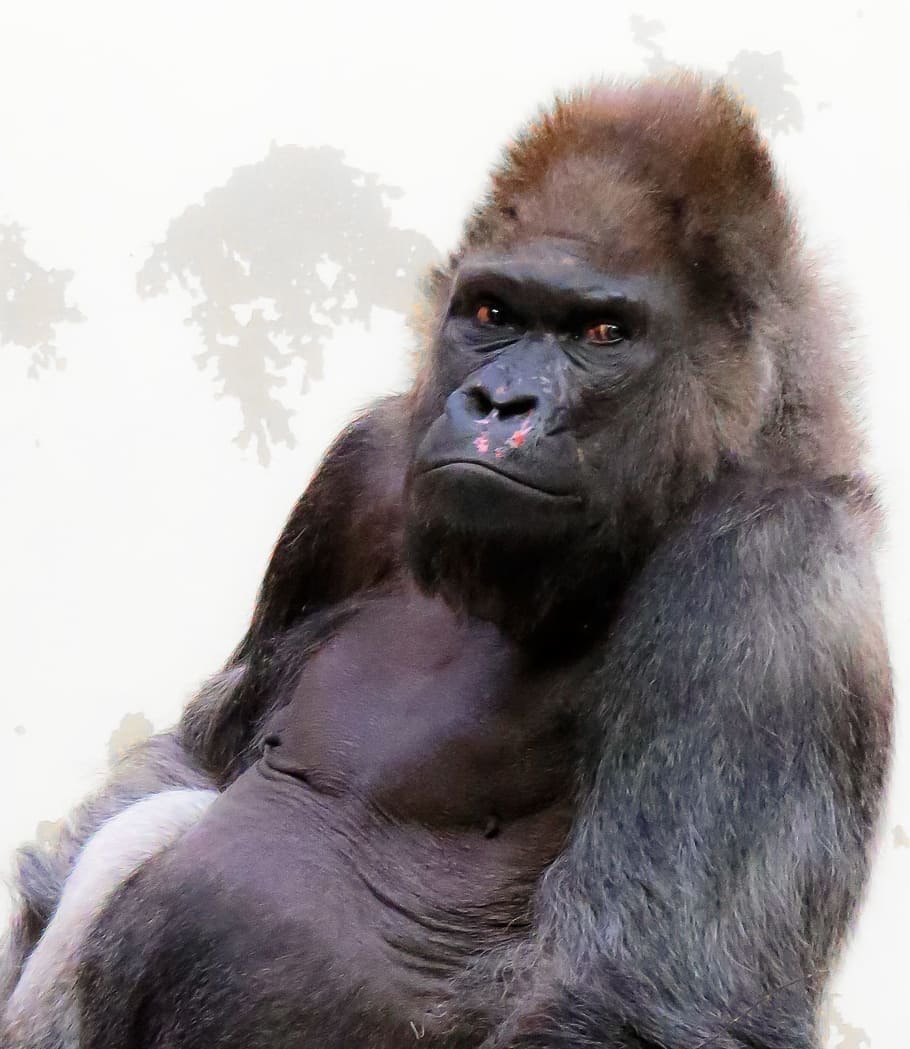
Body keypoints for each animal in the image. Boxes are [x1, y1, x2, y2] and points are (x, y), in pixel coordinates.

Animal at [1, 74, 892, 1049]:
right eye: (492, 313)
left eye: (603, 332)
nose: (499, 402)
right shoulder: (357, 474)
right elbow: (192, 759)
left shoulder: (770, 571)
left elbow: (636, 996)